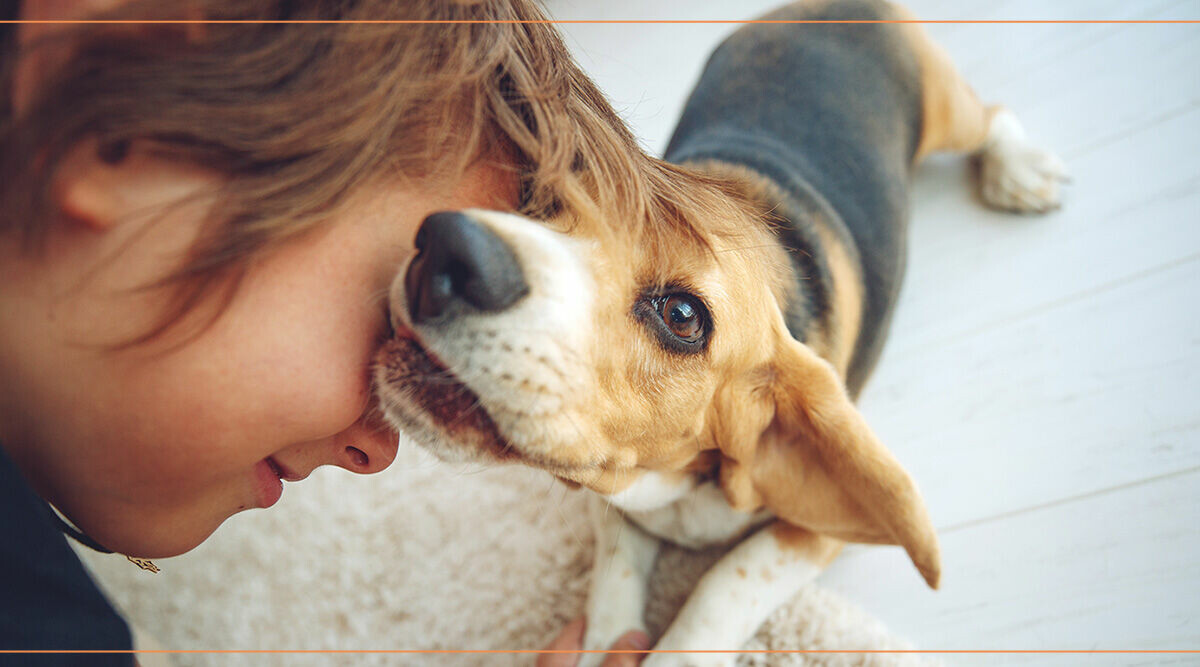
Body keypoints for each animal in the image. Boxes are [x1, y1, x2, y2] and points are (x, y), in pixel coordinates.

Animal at [372, 2, 1060, 662]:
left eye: (683, 317)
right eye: (538, 204)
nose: (445, 247)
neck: (683, 480)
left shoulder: (818, 533)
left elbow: (725, 581)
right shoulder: (617, 499)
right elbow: (614, 580)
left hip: (945, 109)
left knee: (990, 116)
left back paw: (1019, 170)